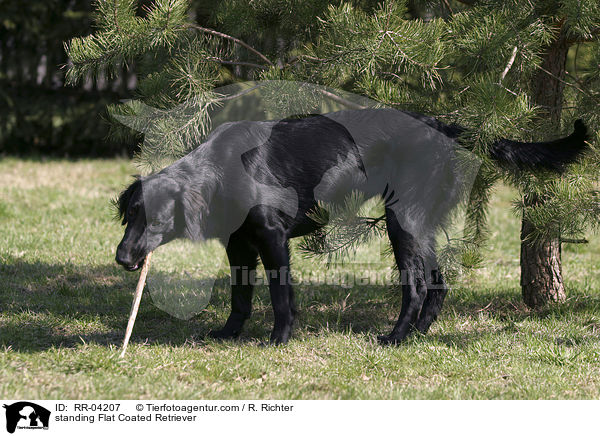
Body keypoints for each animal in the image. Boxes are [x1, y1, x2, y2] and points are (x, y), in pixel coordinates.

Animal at [115, 109, 588, 344]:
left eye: (156, 219)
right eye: (130, 214)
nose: (121, 258)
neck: (220, 171)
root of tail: (441, 126)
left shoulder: (273, 238)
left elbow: (280, 297)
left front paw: (279, 338)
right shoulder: (239, 245)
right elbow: (240, 296)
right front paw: (229, 334)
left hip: (402, 220)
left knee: (417, 285)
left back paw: (396, 337)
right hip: (419, 223)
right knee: (437, 281)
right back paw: (419, 335)